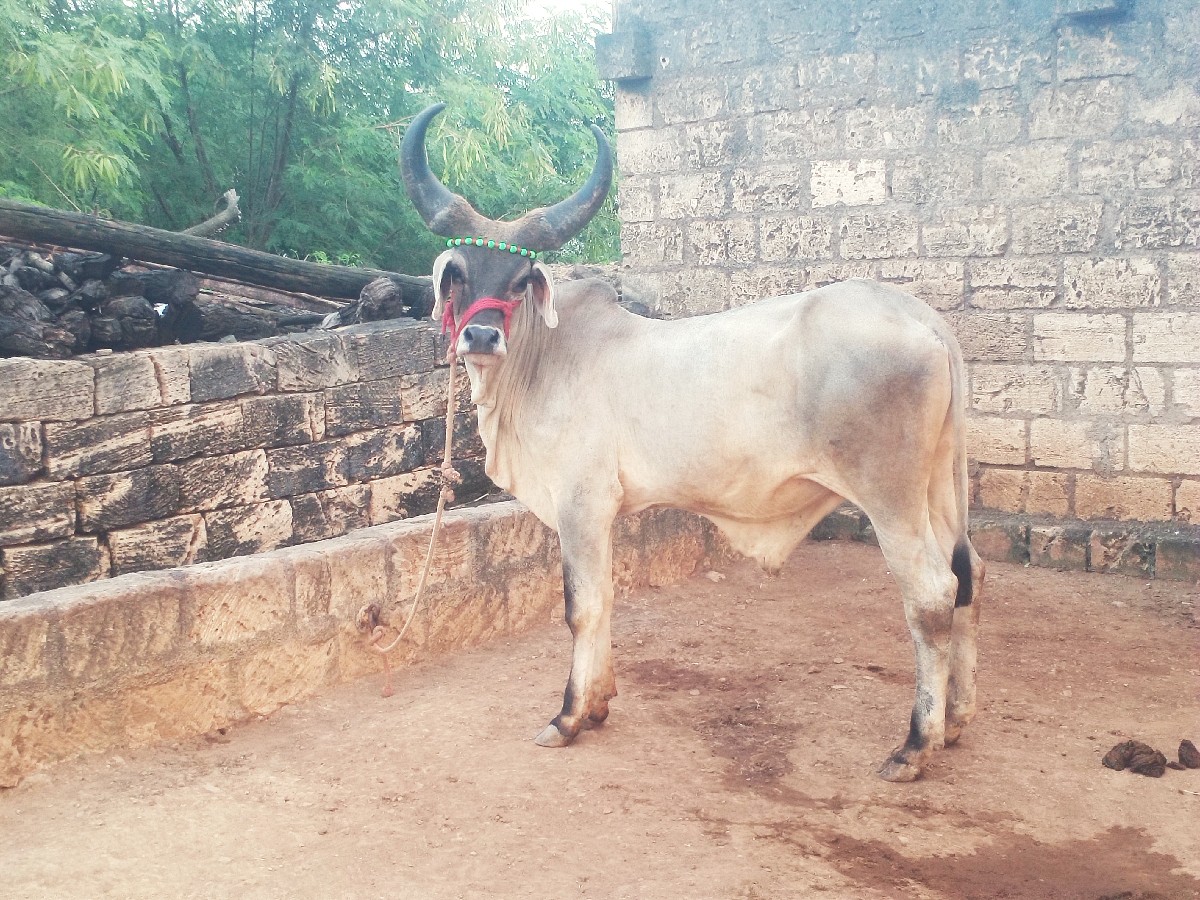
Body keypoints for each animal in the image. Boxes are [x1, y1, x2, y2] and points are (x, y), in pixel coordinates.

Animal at [400, 103, 984, 782]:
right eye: (459, 274)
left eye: (521, 279)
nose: (481, 338)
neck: (544, 360)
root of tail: (926, 320)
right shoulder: (602, 514)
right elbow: (606, 598)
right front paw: (599, 703)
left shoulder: (580, 504)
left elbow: (581, 606)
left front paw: (567, 717)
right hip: (939, 489)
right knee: (969, 575)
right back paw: (957, 720)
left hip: (891, 496)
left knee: (932, 595)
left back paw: (916, 744)